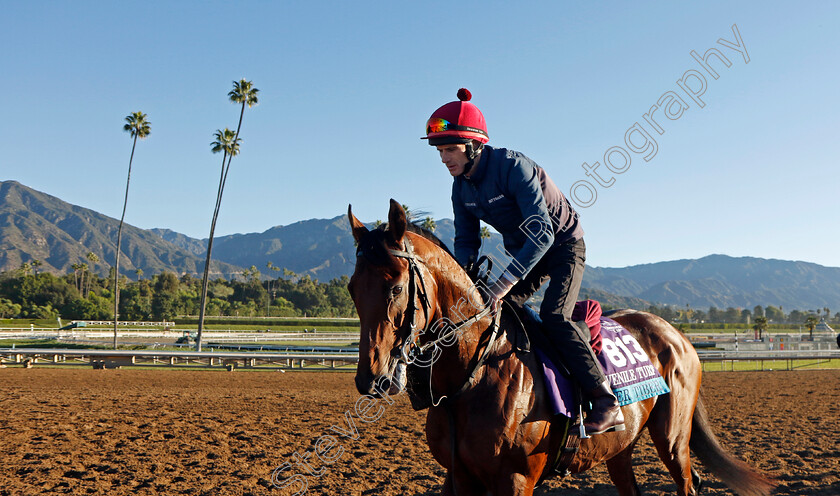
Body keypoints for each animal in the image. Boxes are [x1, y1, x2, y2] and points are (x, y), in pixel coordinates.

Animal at [346, 199, 776, 496]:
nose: (373, 380)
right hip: (620, 447)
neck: (473, 376)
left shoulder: (516, 479)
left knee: (687, 481)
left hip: (673, 439)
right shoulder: (460, 476)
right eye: (352, 288)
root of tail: (678, 335)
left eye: (395, 286)